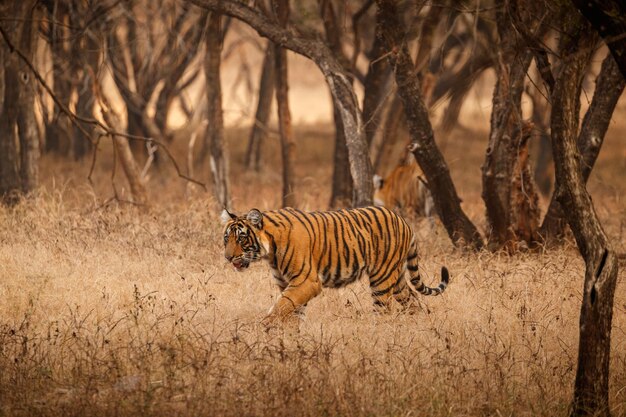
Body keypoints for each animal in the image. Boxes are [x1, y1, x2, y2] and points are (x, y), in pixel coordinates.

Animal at [219, 206, 444, 324]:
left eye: (241, 238)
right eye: (226, 238)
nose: (228, 258)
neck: (270, 252)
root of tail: (404, 221)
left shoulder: (306, 282)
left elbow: (281, 306)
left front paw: (265, 327)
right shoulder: (288, 284)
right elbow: (291, 310)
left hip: (382, 278)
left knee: (383, 311)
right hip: (397, 279)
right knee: (413, 300)